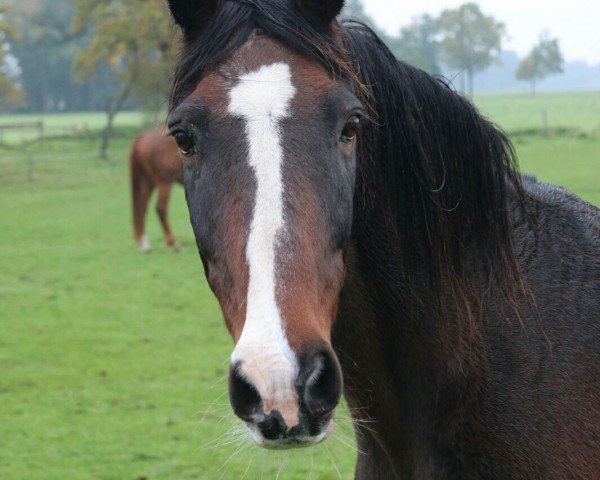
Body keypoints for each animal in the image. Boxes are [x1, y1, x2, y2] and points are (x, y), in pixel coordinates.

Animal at [131, 125, 185, 253]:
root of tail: (144, 136)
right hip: (164, 183)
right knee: (161, 209)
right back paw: (173, 243)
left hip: (147, 183)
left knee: (142, 207)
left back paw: (144, 244)